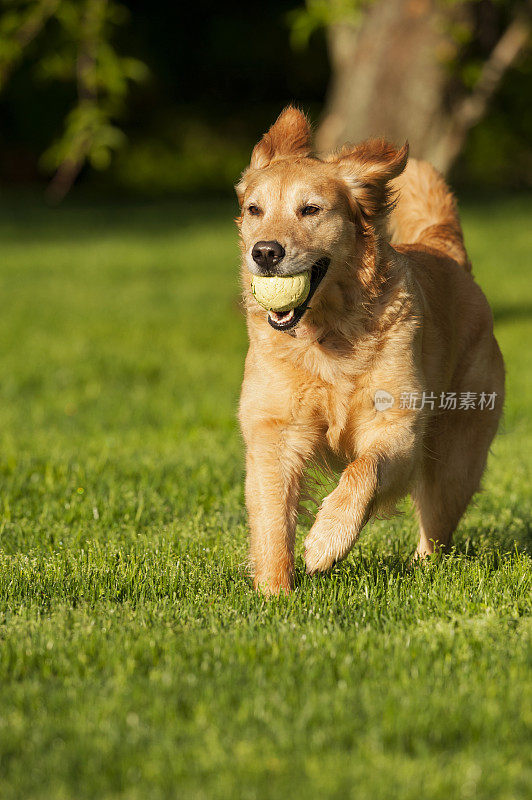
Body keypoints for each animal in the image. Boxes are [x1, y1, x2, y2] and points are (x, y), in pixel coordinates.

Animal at [235, 106, 504, 592]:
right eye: (254, 209)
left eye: (310, 209)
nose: (264, 252)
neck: (327, 335)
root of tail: (444, 250)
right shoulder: (273, 432)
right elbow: (272, 520)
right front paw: (274, 593)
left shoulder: (398, 430)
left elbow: (363, 470)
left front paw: (327, 540)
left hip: (456, 457)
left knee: (437, 526)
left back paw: (423, 569)